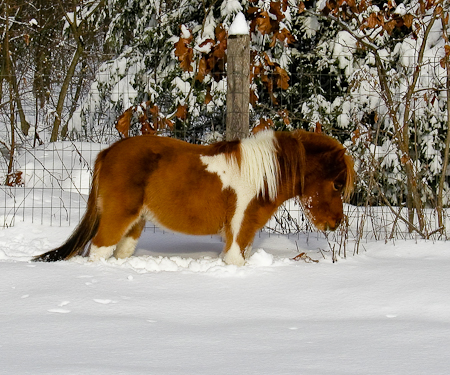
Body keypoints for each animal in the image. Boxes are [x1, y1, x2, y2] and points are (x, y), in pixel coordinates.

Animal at [32, 131, 356, 266]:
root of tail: (107, 152)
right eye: (338, 184)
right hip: (117, 218)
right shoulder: (238, 233)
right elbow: (234, 261)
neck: (260, 175)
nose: (336, 223)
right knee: (98, 250)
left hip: (135, 224)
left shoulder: (247, 233)